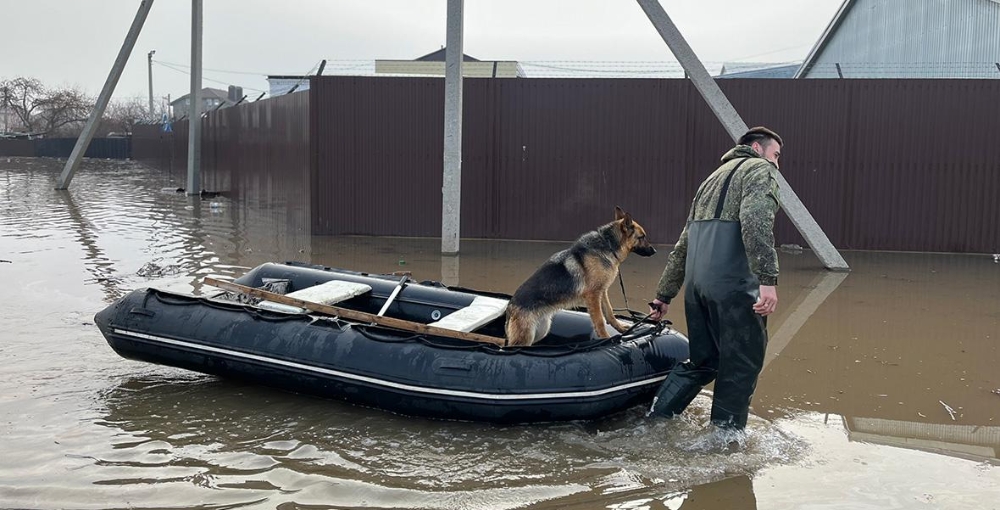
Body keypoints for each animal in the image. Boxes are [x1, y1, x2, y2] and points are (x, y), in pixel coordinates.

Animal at [508, 207, 656, 346]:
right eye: (642, 237)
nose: (654, 251)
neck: (608, 245)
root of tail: (510, 305)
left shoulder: (603, 291)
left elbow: (609, 312)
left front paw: (620, 328)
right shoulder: (593, 295)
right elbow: (599, 321)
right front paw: (606, 339)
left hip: (541, 331)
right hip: (526, 337)